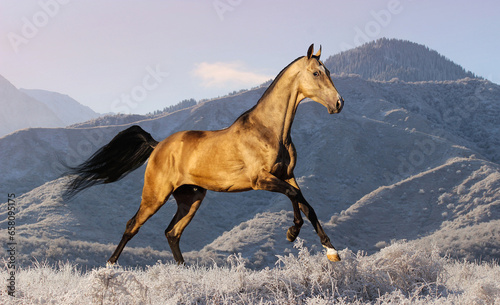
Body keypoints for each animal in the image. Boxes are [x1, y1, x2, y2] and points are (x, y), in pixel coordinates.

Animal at [65, 44, 344, 264]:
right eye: (316, 72)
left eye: (329, 72)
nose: (339, 104)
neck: (268, 131)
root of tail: (158, 145)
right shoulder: (261, 180)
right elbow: (295, 197)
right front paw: (291, 233)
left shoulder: (287, 175)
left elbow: (307, 206)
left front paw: (332, 252)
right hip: (155, 195)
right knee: (133, 225)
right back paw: (110, 266)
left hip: (191, 198)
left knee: (172, 233)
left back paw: (184, 271)